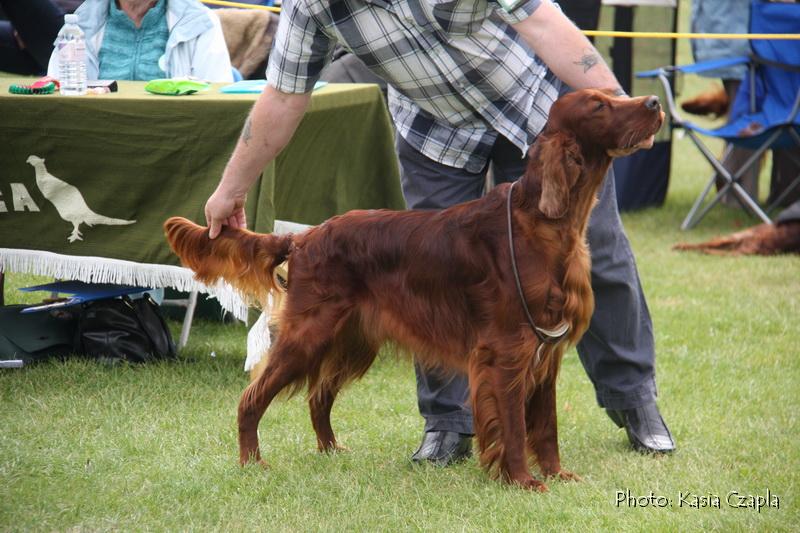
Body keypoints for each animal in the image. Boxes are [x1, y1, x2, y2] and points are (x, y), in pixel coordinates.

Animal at [162, 88, 664, 490]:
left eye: (611, 95)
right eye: (600, 105)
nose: (655, 102)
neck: (540, 223)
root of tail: (305, 238)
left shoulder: (548, 352)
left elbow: (547, 426)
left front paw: (558, 475)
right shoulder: (507, 351)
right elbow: (516, 428)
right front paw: (524, 481)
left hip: (350, 339)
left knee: (318, 397)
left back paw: (330, 450)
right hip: (309, 333)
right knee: (252, 398)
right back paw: (252, 463)